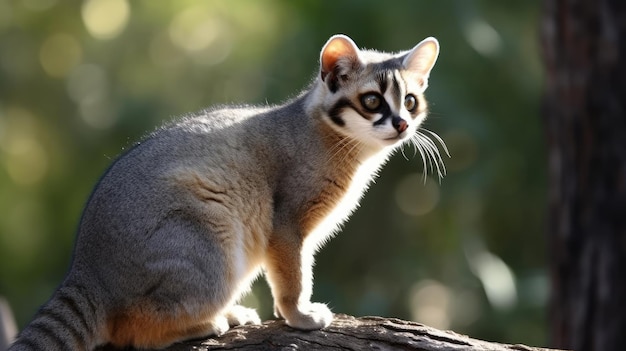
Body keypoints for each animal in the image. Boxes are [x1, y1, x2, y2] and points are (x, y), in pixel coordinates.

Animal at [8, 34, 438, 350]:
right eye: (372, 100)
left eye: (410, 101)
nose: (401, 124)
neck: (327, 133)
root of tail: (87, 270)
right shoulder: (286, 223)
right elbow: (294, 275)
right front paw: (298, 315)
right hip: (210, 242)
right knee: (134, 333)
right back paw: (202, 323)